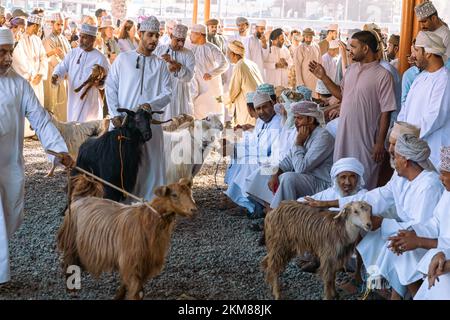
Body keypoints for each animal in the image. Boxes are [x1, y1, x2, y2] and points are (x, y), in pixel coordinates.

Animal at [56, 178, 197, 300]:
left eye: (190, 193)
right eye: (174, 195)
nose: (194, 210)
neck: (148, 219)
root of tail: (79, 199)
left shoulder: (144, 261)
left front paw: (118, 296)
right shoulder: (132, 259)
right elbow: (135, 289)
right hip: (71, 241)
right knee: (68, 262)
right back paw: (71, 288)